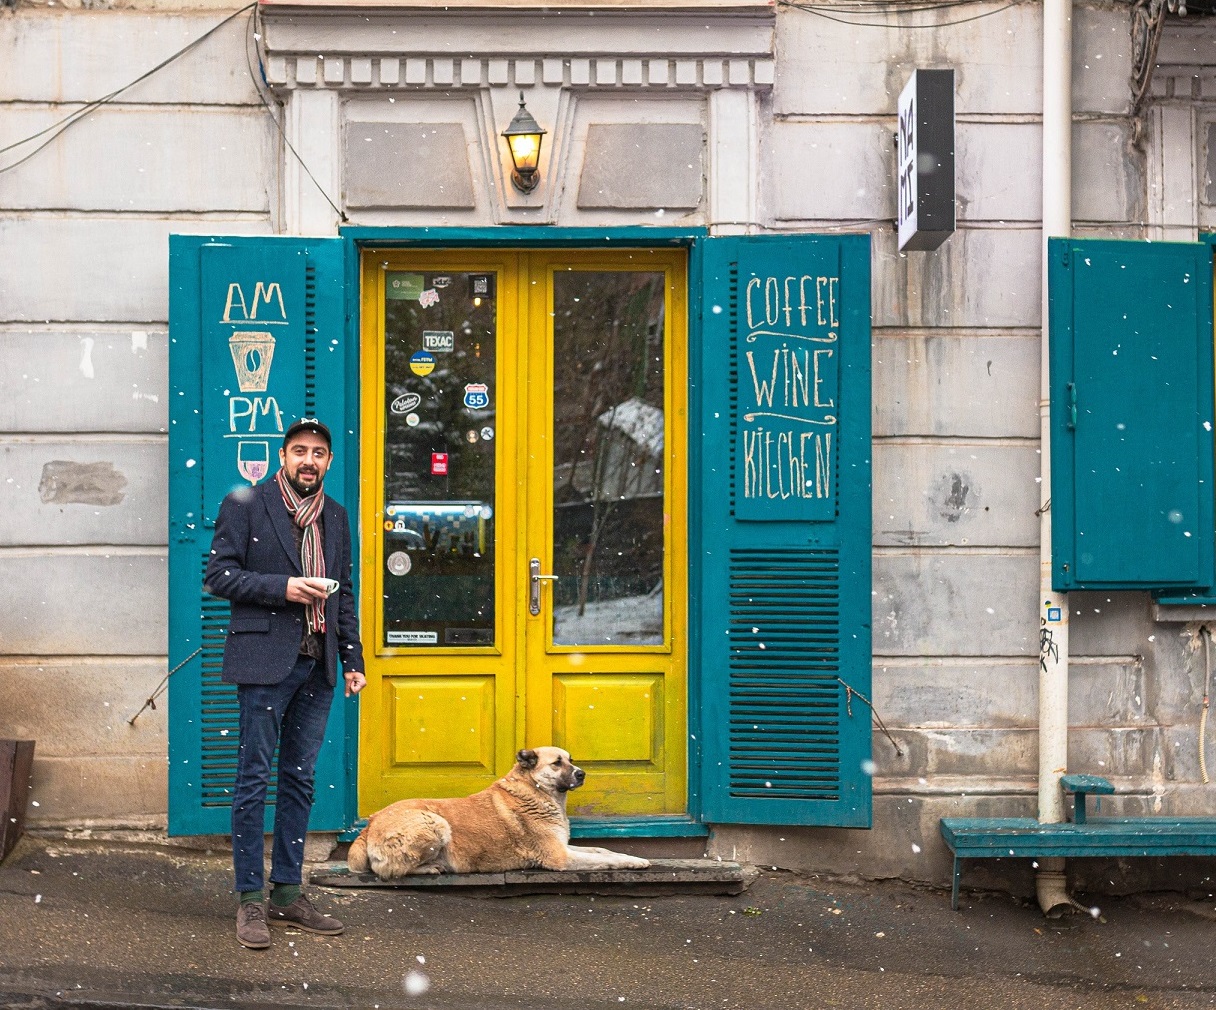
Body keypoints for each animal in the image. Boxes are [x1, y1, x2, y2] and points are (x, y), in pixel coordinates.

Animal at [350, 748, 656, 879]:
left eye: (571, 759)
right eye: (557, 763)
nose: (582, 773)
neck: (535, 790)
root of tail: (369, 825)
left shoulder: (564, 847)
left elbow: (603, 850)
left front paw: (632, 857)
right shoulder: (559, 857)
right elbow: (607, 859)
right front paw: (634, 862)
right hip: (435, 822)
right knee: (388, 871)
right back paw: (431, 867)